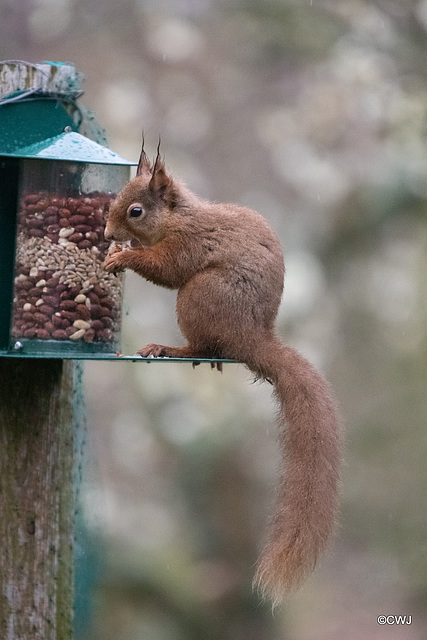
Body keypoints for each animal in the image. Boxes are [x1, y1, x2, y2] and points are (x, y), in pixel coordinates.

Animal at [105, 141, 342, 604]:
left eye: (136, 211)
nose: (106, 235)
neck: (178, 218)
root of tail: (253, 339)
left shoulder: (187, 245)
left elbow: (166, 270)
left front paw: (124, 256)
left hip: (197, 296)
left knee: (200, 340)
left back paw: (170, 347)